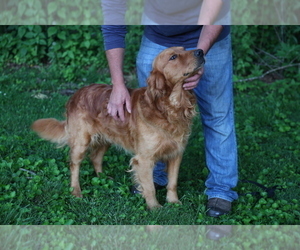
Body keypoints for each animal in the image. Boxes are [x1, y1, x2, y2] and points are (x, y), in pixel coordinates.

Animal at [32, 47, 205, 209]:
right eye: (173, 57)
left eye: (184, 49)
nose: (200, 51)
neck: (172, 108)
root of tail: (76, 93)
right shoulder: (144, 159)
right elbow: (149, 187)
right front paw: (154, 207)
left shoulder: (176, 154)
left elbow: (172, 182)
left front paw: (173, 201)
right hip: (81, 142)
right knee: (74, 165)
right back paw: (76, 191)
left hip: (108, 137)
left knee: (95, 157)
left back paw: (102, 177)